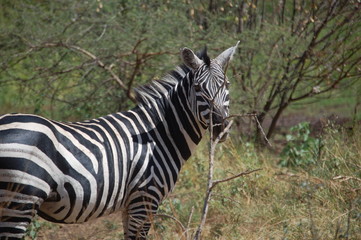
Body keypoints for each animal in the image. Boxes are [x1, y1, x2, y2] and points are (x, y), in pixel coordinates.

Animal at [0, 42, 239, 239]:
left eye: (227, 85)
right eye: (198, 88)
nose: (221, 127)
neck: (160, 135)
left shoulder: (130, 203)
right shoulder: (145, 198)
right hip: (21, 200)